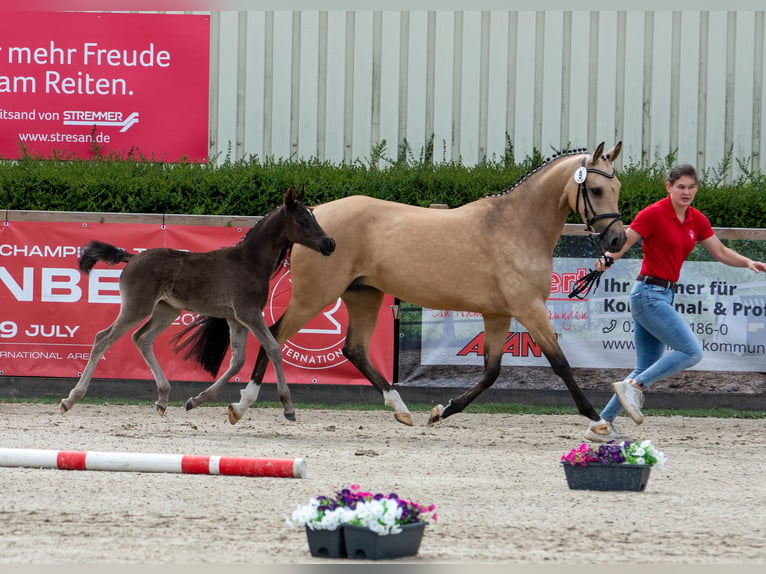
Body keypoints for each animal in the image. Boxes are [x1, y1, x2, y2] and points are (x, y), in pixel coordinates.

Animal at [59, 186, 336, 416]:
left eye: (314, 217)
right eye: (302, 220)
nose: (330, 243)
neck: (249, 262)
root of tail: (132, 257)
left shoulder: (236, 319)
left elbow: (238, 361)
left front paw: (196, 400)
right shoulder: (249, 313)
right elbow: (273, 348)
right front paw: (288, 406)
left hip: (166, 310)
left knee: (142, 338)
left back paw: (163, 399)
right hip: (137, 307)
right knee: (103, 339)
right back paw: (71, 399)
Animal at [176, 142, 626, 427]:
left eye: (618, 187)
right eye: (596, 189)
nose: (617, 240)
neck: (515, 226)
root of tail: (314, 218)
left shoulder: (497, 314)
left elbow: (491, 371)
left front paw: (441, 411)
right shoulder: (528, 308)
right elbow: (561, 363)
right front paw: (597, 420)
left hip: (364, 296)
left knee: (354, 350)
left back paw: (401, 407)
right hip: (314, 296)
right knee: (273, 335)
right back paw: (242, 406)